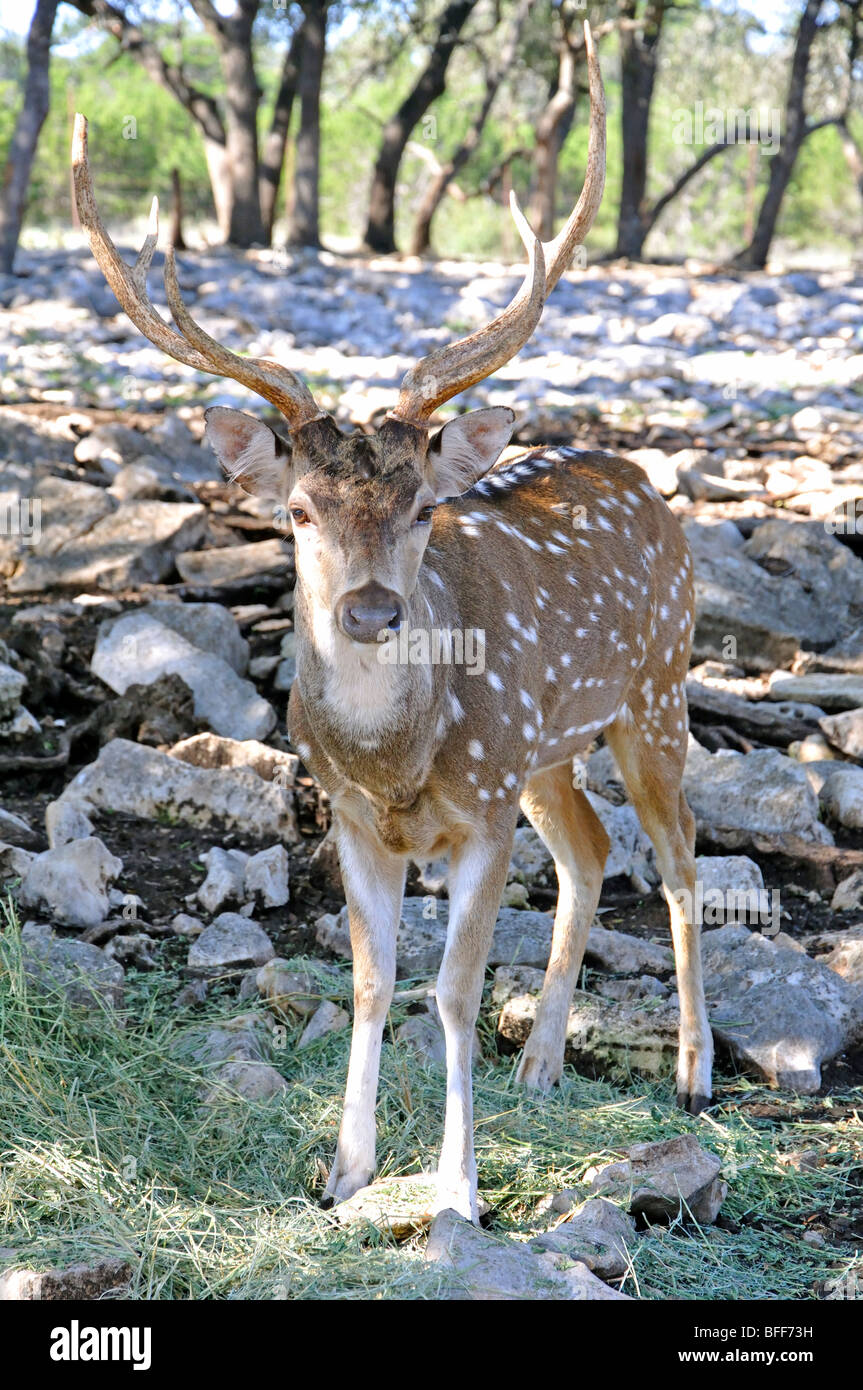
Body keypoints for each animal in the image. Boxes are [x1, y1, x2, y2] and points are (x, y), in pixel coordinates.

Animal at [71, 22, 712, 1225]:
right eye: (296, 508)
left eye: (419, 507)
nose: (371, 607)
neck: (396, 760)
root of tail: (643, 479)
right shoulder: (354, 823)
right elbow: (373, 982)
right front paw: (345, 1171)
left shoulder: (481, 815)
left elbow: (453, 991)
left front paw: (458, 1190)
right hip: (544, 753)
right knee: (592, 850)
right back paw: (541, 1062)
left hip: (655, 690)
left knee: (682, 857)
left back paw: (694, 1073)